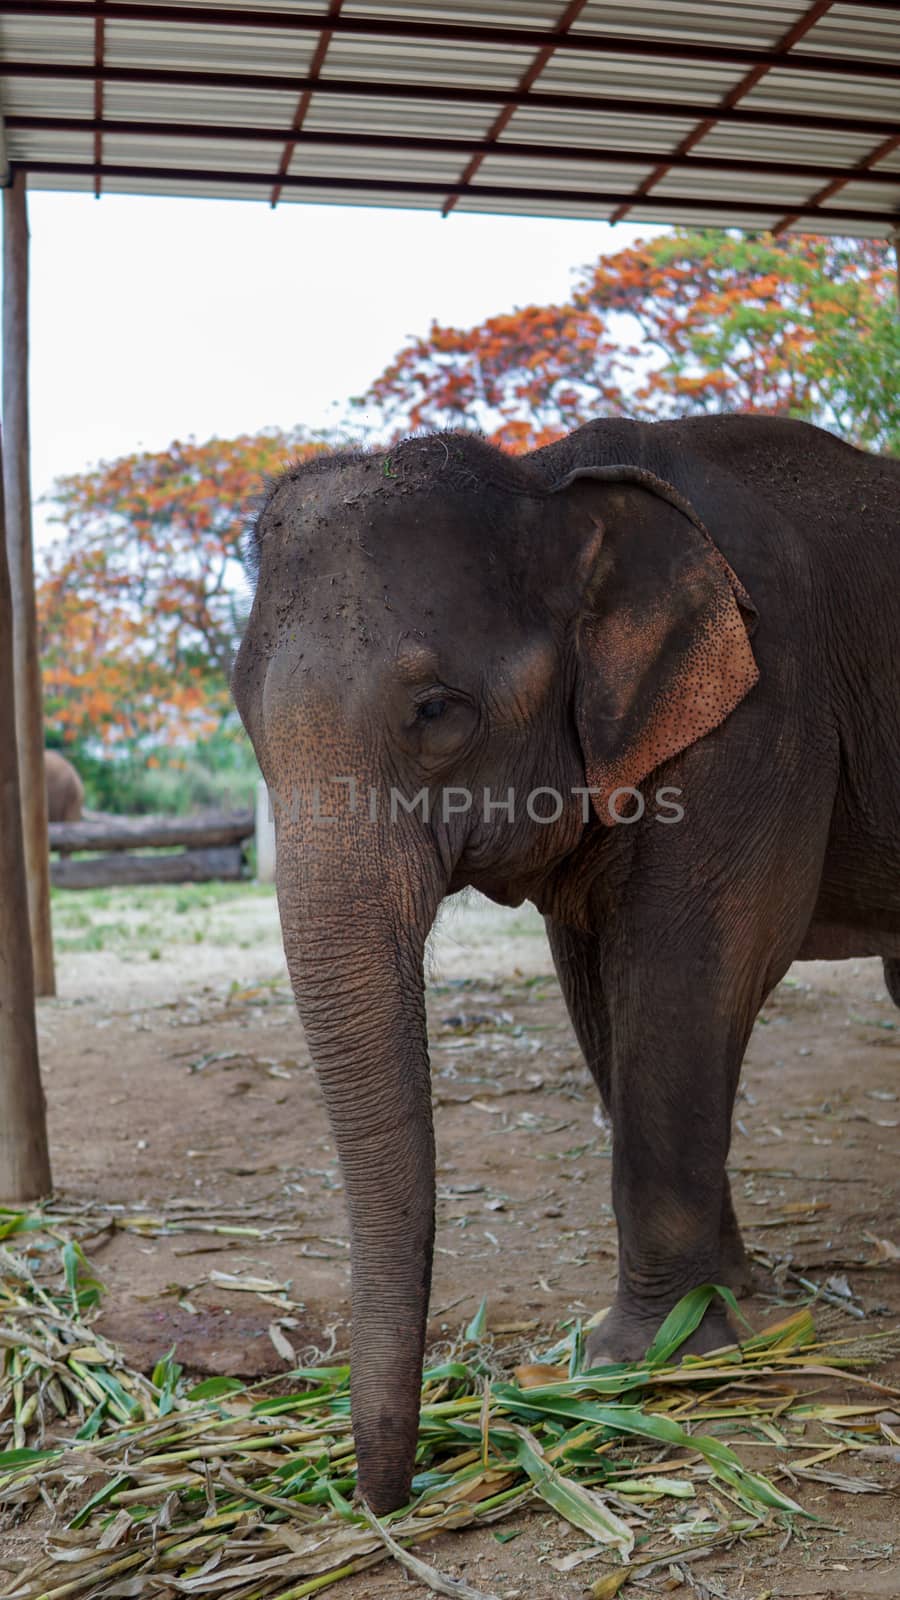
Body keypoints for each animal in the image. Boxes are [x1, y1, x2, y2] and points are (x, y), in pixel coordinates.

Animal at [230, 412, 896, 1510]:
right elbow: (597, 996)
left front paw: (653, 1359)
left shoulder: (766, 714)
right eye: (244, 717)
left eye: (436, 711)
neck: (549, 482)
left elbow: (692, 970)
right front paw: (724, 1301)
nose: (389, 1495)